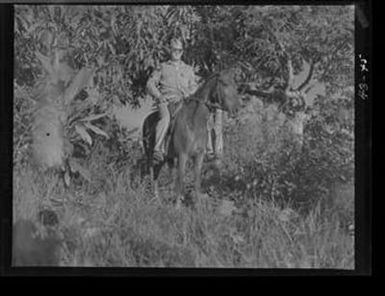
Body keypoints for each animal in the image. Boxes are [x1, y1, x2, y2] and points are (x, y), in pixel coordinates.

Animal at [142, 69, 242, 208]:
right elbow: (181, 178)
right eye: (225, 84)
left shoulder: (198, 156)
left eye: (235, 85)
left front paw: (197, 206)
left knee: (161, 174)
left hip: (166, 158)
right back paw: (155, 198)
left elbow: (197, 180)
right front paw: (177, 206)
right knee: (153, 173)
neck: (193, 122)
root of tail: (146, 120)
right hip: (151, 155)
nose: (237, 109)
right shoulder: (182, 155)